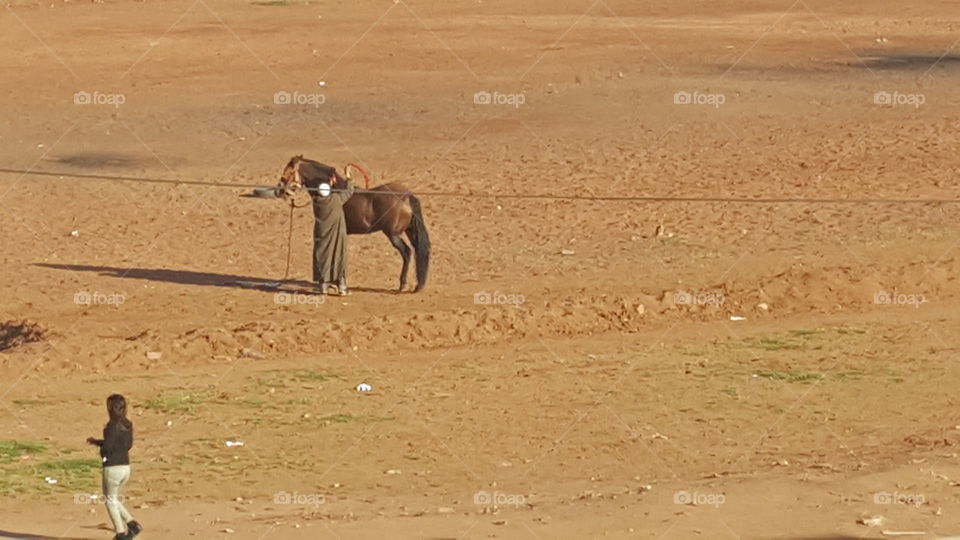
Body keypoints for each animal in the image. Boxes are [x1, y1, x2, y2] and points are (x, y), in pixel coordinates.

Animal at [276, 155, 430, 292]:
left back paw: (402, 285)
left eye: (288, 172)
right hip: (409, 231)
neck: (333, 190)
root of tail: (407, 197)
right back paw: (417, 285)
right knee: (416, 251)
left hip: (393, 235)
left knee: (407, 253)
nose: (279, 191)